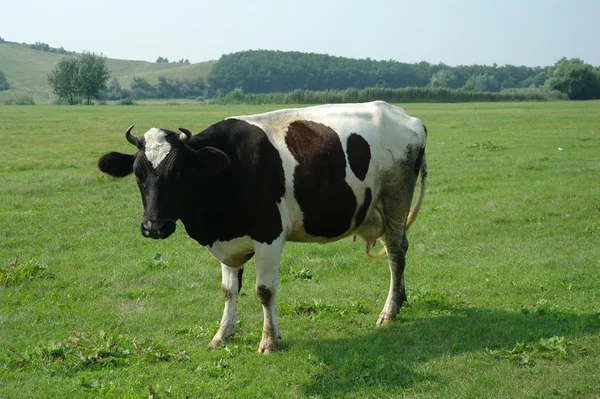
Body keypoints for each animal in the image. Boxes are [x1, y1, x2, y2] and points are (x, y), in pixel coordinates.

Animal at [97, 100, 426, 354]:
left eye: (179, 171)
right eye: (138, 173)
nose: (154, 226)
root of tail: (408, 117)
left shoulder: (269, 236)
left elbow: (264, 291)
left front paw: (269, 341)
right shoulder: (228, 240)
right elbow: (228, 290)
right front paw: (222, 334)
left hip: (395, 200)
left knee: (396, 254)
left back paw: (389, 311)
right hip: (379, 210)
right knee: (397, 250)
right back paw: (400, 300)